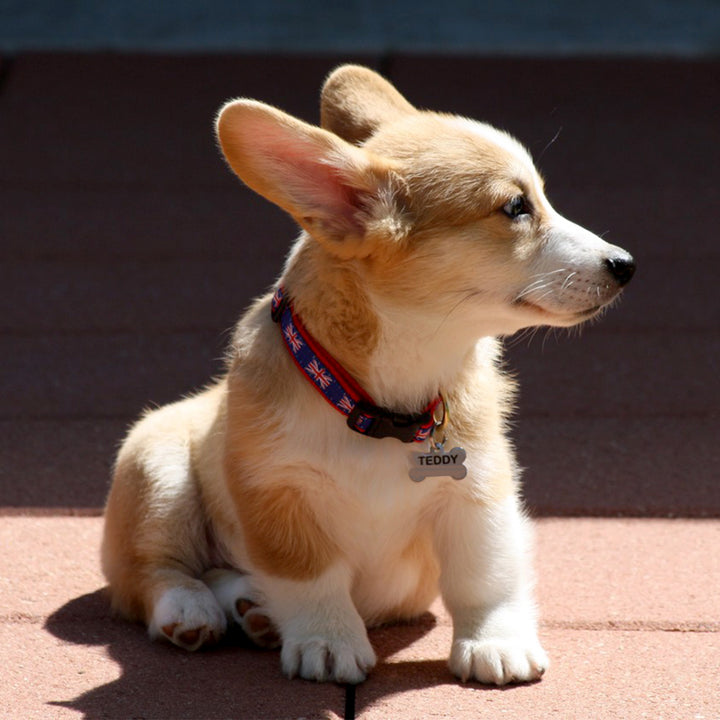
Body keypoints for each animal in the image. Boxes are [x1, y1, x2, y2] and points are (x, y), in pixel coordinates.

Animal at [101, 63, 636, 688]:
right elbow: (312, 579)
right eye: (514, 208)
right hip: (156, 469)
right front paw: (327, 643)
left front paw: (496, 645)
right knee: (152, 572)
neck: (383, 403)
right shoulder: (278, 495)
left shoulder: (480, 494)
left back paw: (254, 610)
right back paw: (192, 610)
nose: (626, 265)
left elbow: (484, 576)